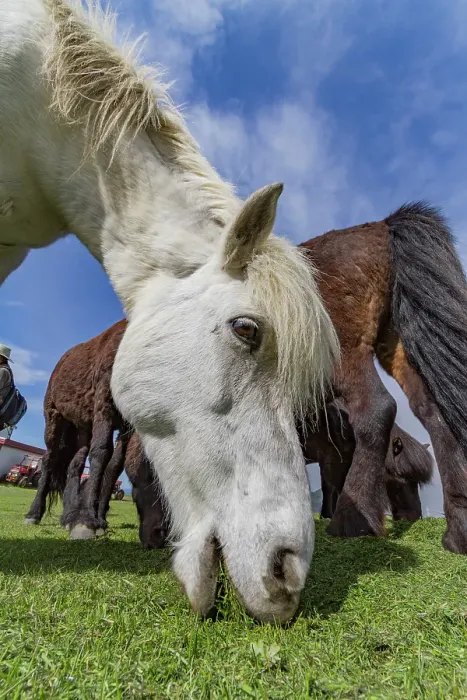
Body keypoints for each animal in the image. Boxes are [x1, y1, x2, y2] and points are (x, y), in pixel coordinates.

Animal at [300, 203, 467, 553]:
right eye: (403, 482)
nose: (413, 515)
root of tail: (381, 227)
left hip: (343, 349)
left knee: (376, 409)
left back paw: (353, 522)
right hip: (397, 345)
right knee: (434, 414)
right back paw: (458, 531)